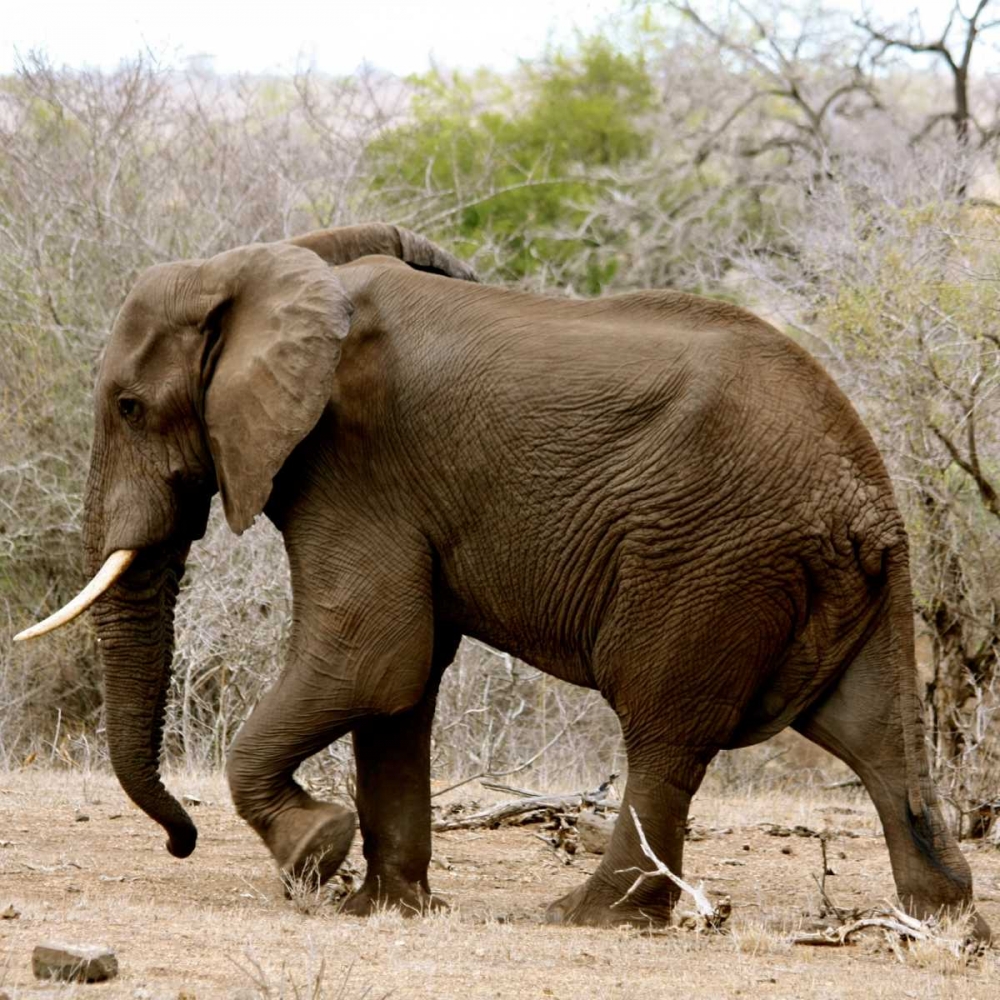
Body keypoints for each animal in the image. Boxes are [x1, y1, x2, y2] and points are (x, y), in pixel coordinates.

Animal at [16, 222, 989, 939]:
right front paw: (383, 907)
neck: (259, 266)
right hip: (834, 577)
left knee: (664, 732)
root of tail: (870, 495)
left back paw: (587, 917)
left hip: (708, 559)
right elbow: (399, 686)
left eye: (130, 407)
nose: (178, 845)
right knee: (874, 733)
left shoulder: (352, 466)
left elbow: (374, 654)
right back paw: (941, 923)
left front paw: (314, 854)